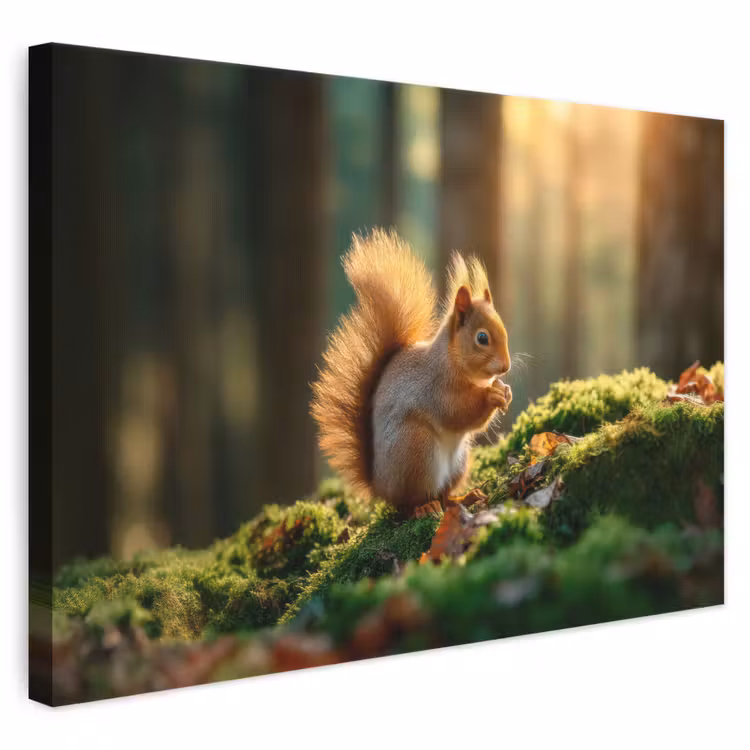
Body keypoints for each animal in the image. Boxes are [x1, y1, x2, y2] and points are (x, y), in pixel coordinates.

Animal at [311, 228, 512, 518]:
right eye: (482, 338)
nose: (506, 367)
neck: (452, 360)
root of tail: (380, 486)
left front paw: (505, 391)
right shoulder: (436, 388)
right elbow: (459, 412)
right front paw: (492, 396)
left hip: (459, 462)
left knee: (445, 495)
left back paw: (464, 497)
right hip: (416, 450)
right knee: (410, 502)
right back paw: (424, 507)